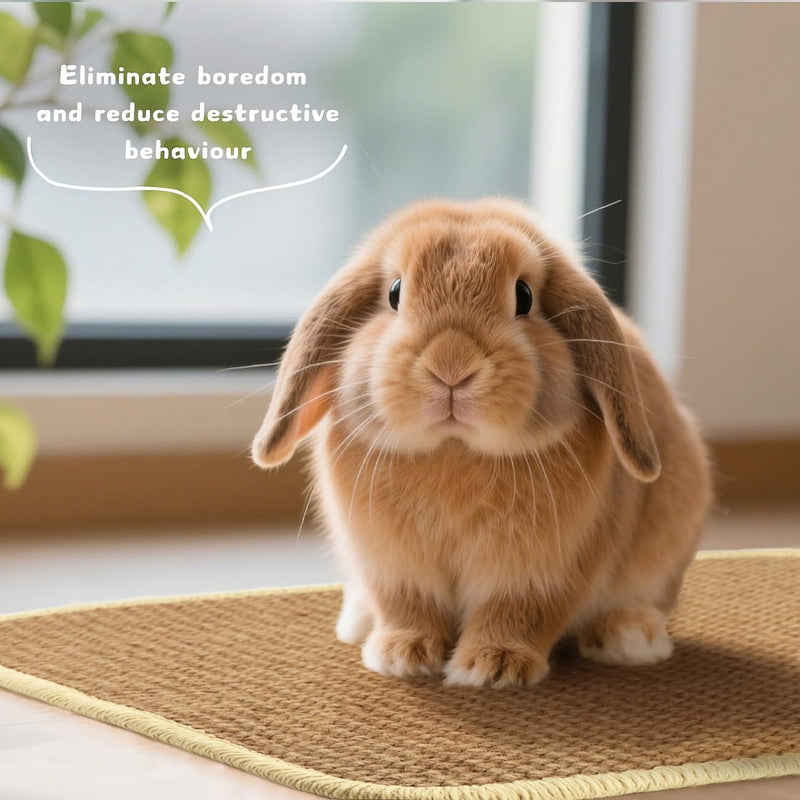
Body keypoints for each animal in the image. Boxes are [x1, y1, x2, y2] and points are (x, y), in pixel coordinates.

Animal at [251, 198, 712, 689]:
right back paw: (359, 622)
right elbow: (407, 608)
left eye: (524, 295)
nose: (452, 365)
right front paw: (402, 655)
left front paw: (493, 667)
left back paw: (629, 637)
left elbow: (517, 613)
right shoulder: (393, 568)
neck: (455, 450)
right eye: (395, 292)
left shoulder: (543, 573)